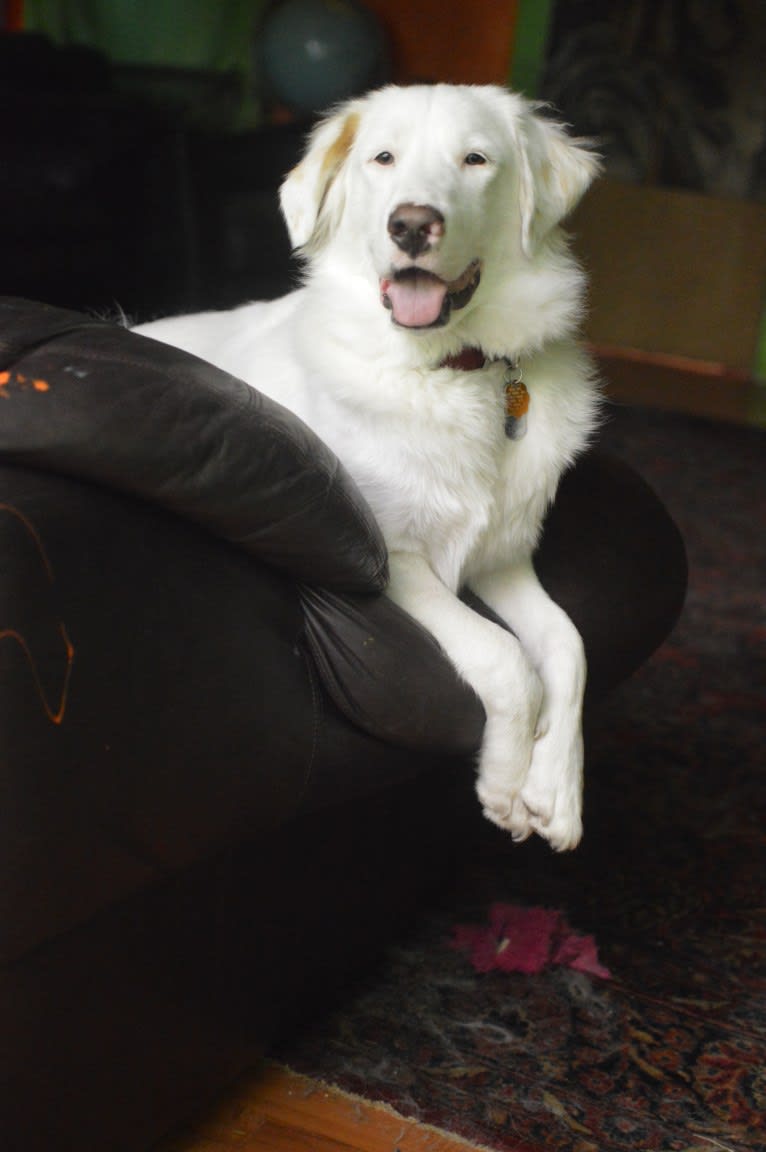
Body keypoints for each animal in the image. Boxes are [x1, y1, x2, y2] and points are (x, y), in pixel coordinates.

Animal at [138, 85, 603, 852]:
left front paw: (557, 791)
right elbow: (506, 658)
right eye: (383, 158)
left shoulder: (503, 558)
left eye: (476, 160)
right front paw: (506, 783)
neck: (450, 369)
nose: (411, 225)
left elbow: (568, 646)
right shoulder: (396, 558)